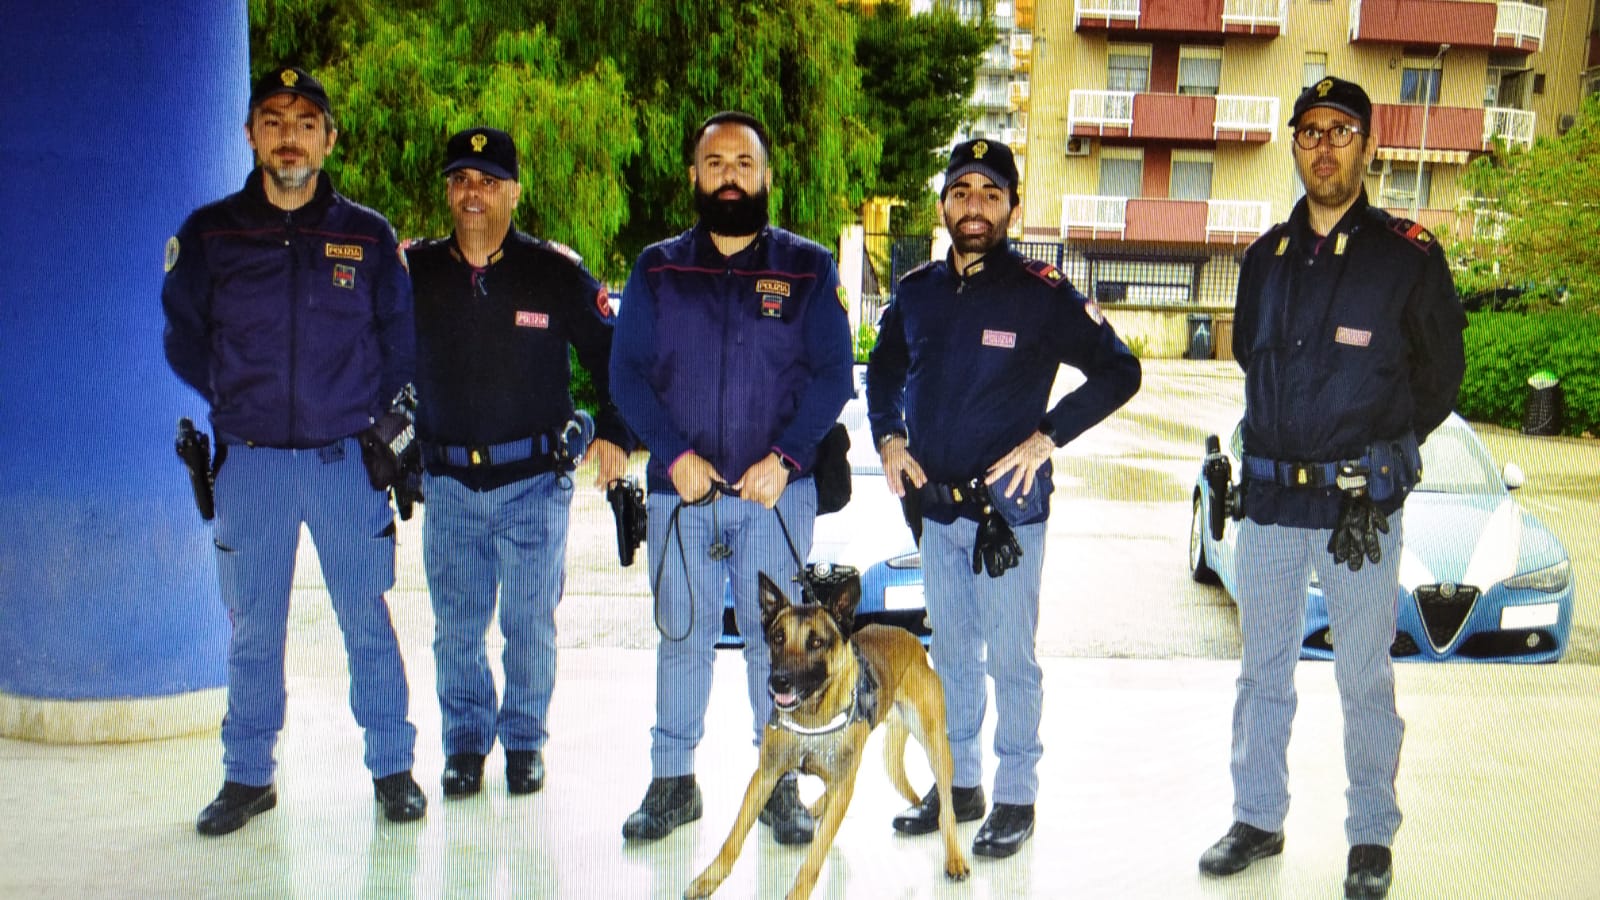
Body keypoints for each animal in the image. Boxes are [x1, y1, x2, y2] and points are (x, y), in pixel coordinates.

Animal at [681, 570, 966, 890]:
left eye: (816, 642)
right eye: (778, 637)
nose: (779, 682)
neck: (812, 717)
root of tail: (910, 638)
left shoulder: (841, 784)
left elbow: (813, 859)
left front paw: (796, 893)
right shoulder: (765, 775)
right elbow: (734, 836)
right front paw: (708, 879)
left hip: (935, 746)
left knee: (947, 809)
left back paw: (954, 858)